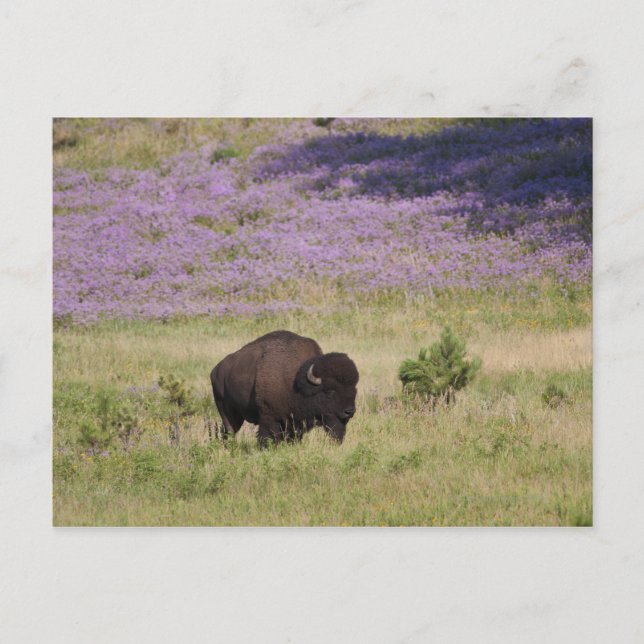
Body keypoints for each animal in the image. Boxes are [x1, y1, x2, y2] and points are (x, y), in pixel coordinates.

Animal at [210, 330, 359, 446]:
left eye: (354, 390)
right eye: (329, 391)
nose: (349, 411)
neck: (297, 381)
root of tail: (216, 370)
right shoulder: (269, 417)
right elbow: (266, 438)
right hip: (226, 410)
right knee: (229, 430)